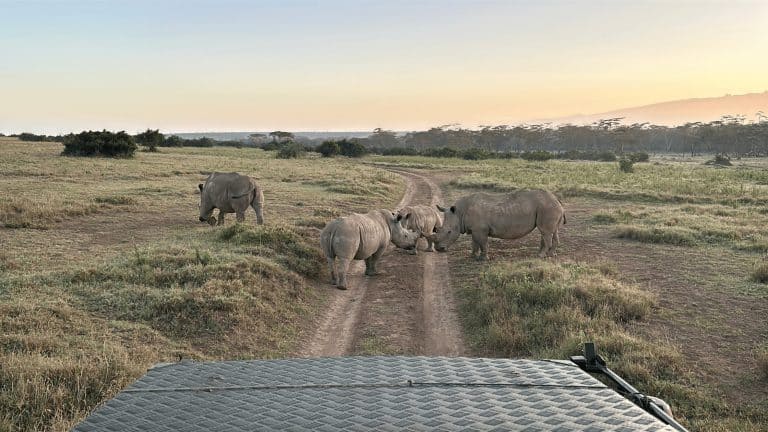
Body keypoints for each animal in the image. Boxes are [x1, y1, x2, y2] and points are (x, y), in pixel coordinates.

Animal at [434, 190, 566, 260]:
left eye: (449, 232)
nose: (439, 249)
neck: (459, 213)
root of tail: (557, 199)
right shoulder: (475, 229)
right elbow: (474, 243)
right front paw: (473, 256)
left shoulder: (480, 230)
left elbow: (483, 244)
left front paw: (483, 259)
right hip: (549, 207)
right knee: (553, 231)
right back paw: (551, 254)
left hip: (546, 207)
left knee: (545, 232)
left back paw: (541, 256)